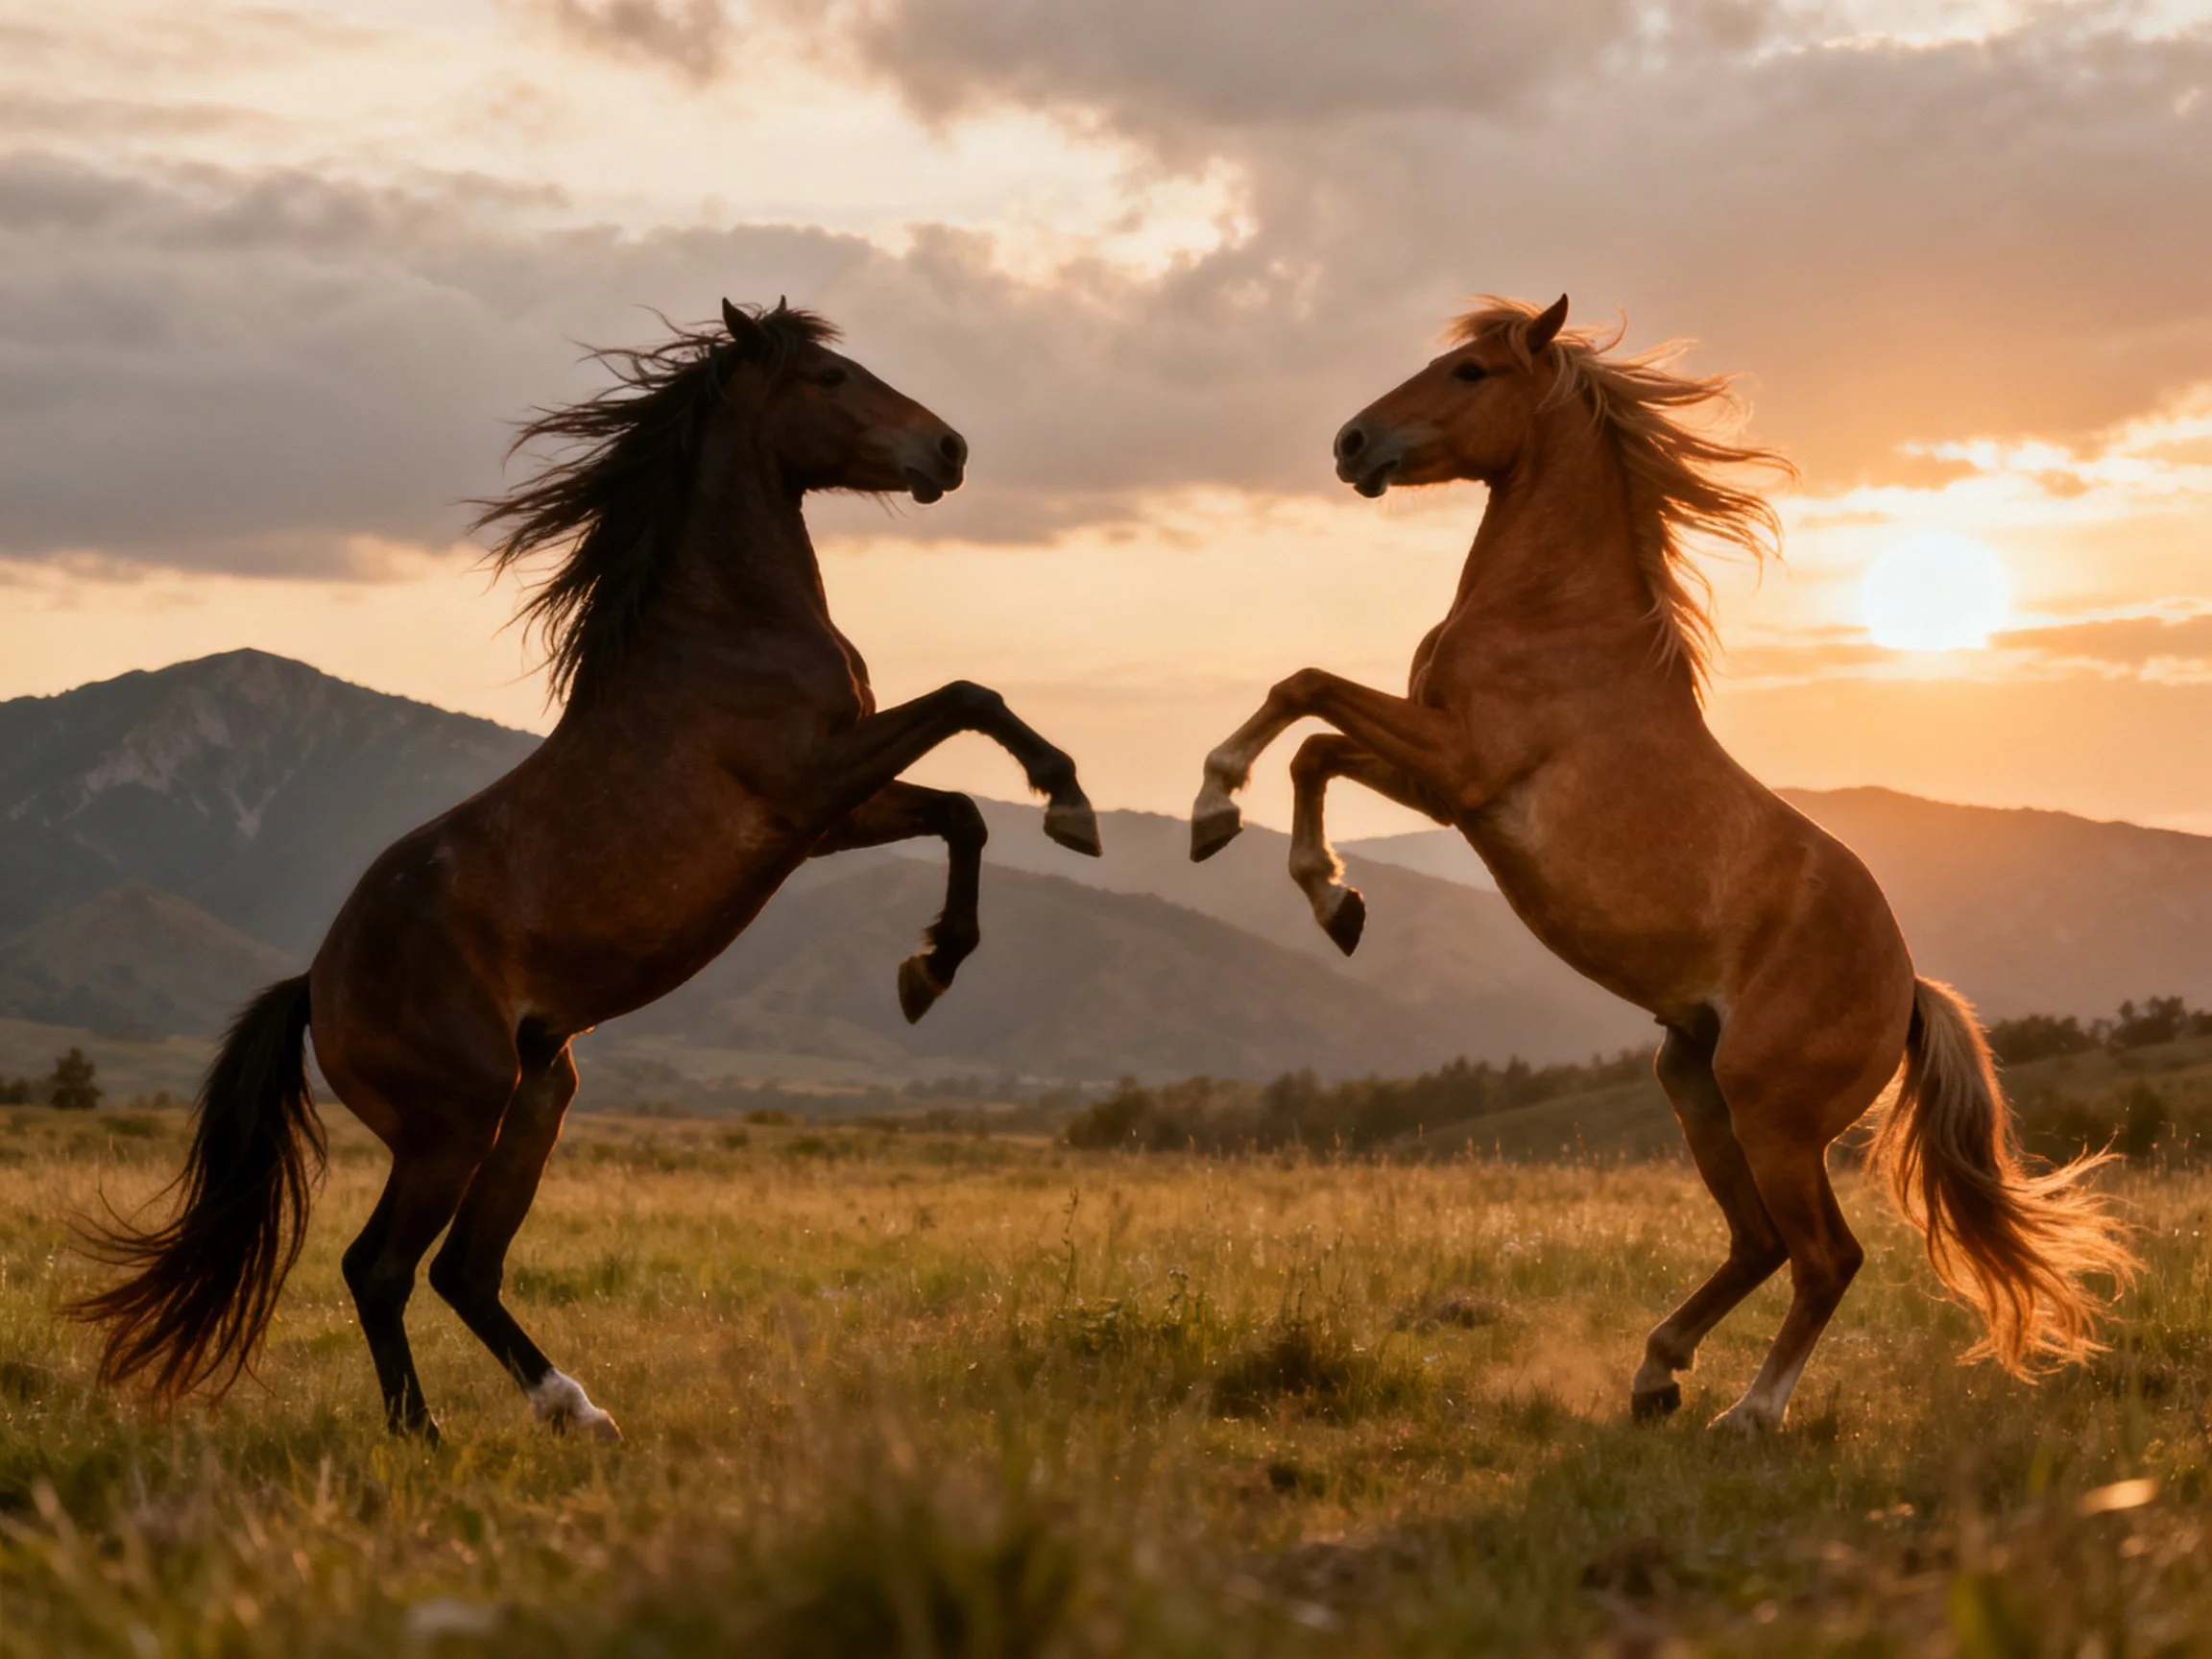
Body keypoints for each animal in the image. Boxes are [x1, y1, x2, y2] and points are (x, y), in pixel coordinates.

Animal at [75, 300, 1103, 1442]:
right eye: (832, 379)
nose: (950, 450)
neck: (725, 629)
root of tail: (316, 985)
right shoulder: (811, 781)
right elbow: (973, 697)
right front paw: (1065, 805)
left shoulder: (824, 818)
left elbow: (963, 814)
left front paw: (933, 965)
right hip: (453, 1122)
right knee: (381, 1268)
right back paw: (425, 1436)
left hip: (538, 1097)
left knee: (463, 1271)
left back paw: (578, 1411)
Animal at [1188, 294, 2137, 1431]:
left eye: (1468, 373)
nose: (1351, 444)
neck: (1556, 615)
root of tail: (1908, 991)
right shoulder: (1444, 786)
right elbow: (1315, 744)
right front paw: (1331, 898)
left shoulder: (1462, 762)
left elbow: (1304, 692)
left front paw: (1219, 809)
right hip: (1693, 1083)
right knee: (1759, 1243)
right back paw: (1655, 1374)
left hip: (1771, 1112)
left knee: (1826, 1257)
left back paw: (1751, 1413)